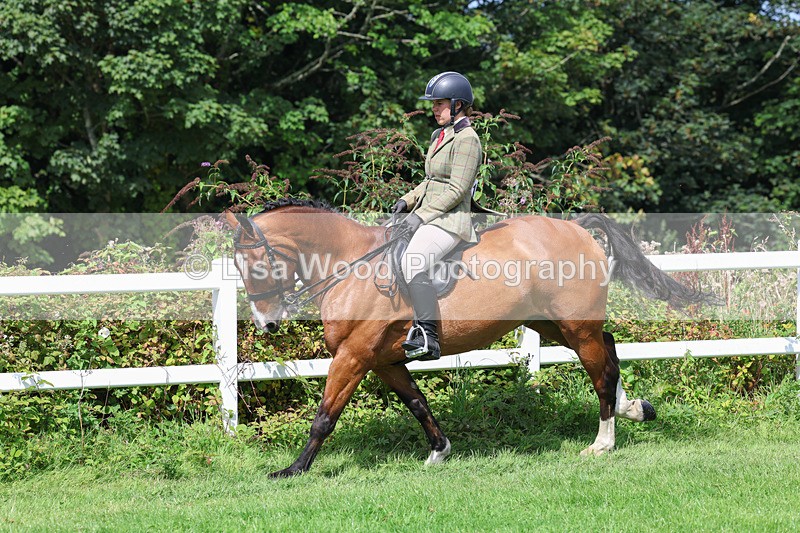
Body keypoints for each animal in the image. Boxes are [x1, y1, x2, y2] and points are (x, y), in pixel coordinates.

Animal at [225, 198, 715, 478]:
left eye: (256, 265)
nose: (266, 323)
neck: (350, 264)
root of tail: (576, 228)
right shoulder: (384, 360)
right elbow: (418, 403)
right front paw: (439, 451)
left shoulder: (354, 356)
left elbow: (325, 416)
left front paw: (293, 470)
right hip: (551, 324)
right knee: (608, 351)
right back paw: (636, 409)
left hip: (575, 324)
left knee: (601, 370)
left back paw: (602, 443)